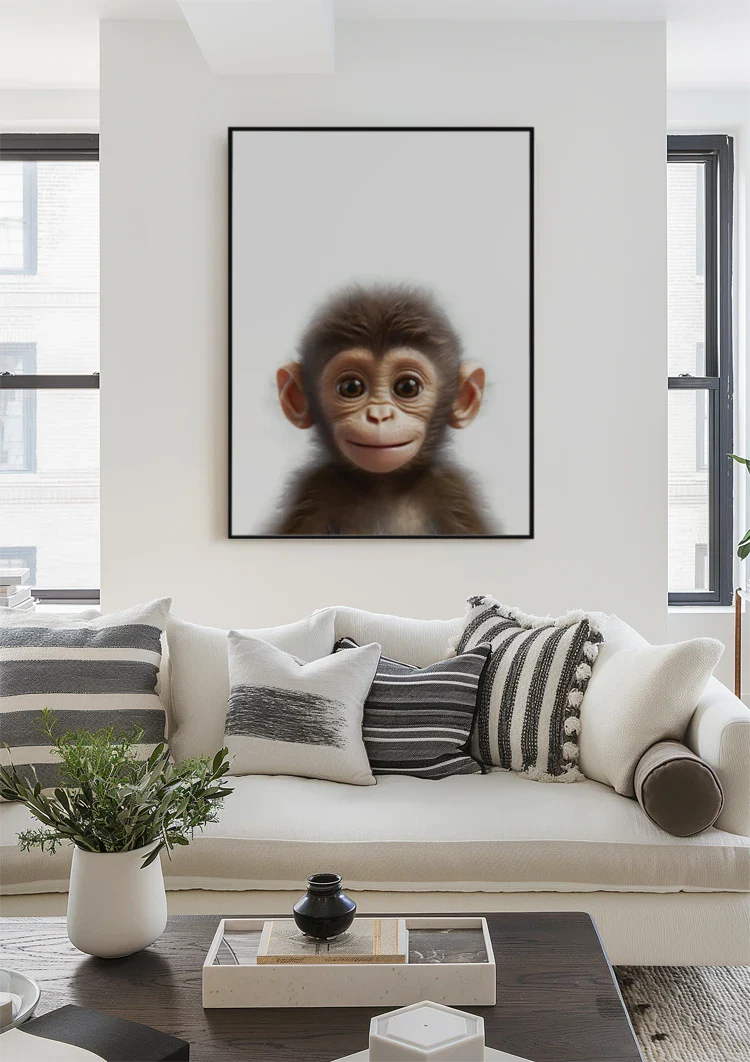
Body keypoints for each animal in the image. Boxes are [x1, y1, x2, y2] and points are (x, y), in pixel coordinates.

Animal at [271, 284, 496, 536]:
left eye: (407, 387)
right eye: (351, 387)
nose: (379, 416)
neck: (383, 487)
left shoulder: (452, 493)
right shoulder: (315, 493)